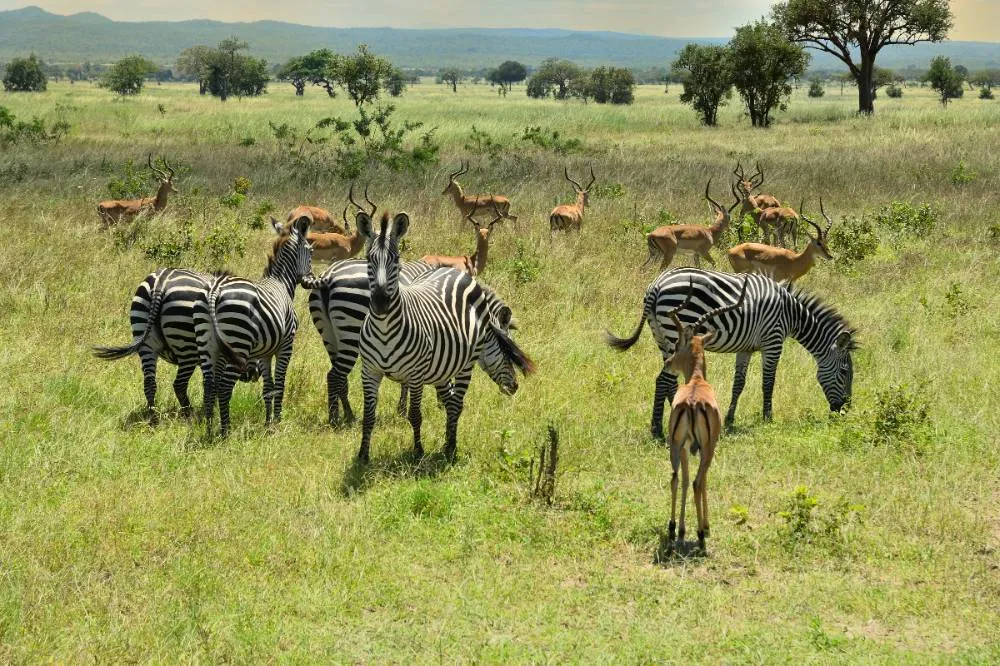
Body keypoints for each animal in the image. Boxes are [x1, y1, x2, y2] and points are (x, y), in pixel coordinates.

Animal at [93, 268, 262, 421]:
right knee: (179, 385)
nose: (253, 376)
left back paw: (153, 419)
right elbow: (214, 382)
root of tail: (160, 283)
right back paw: (189, 414)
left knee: (149, 383)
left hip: (145, 339)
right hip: (187, 348)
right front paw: (210, 411)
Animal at [194, 216, 313, 437]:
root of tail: (215, 289)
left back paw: (209, 428)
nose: (310, 281)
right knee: (224, 388)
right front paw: (278, 421)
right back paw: (225, 431)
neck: (281, 283)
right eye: (311, 251)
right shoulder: (286, 344)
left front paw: (267, 423)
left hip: (208, 344)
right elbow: (280, 384)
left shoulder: (265, 353)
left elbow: (268, 388)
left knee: (209, 385)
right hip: (237, 342)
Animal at [355, 210, 534, 463]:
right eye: (369, 260)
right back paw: (448, 443)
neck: (384, 328)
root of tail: (456, 271)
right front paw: (363, 456)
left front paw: (418, 452)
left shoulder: (416, 375)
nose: (380, 304)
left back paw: (450, 447)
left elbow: (415, 414)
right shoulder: (369, 371)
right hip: (443, 364)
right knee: (451, 402)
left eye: (396, 261)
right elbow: (369, 415)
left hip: (465, 364)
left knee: (456, 403)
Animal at [606, 268, 856, 436]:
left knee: (669, 380)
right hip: (678, 330)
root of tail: (656, 286)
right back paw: (657, 430)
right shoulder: (773, 340)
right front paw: (768, 418)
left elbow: (739, 384)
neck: (791, 314)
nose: (844, 411)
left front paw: (729, 419)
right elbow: (769, 382)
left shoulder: (745, 348)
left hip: (663, 339)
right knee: (663, 380)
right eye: (844, 373)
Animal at [660, 276, 748, 558]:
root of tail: (691, 402)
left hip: (676, 445)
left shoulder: (687, 446)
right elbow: (703, 480)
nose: (668, 362)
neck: (697, 380)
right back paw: (701, 536)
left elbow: (685, 480)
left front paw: (681, 530)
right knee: (699, 482)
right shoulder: (710, 445)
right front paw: (705, 526)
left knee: (677, 479)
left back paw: (672, 530)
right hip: (706, 447)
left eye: (678, 344)